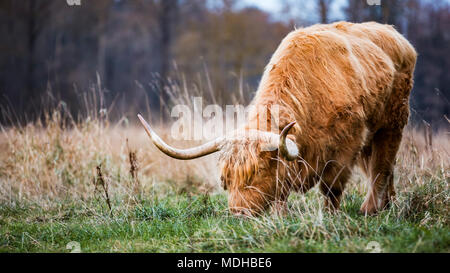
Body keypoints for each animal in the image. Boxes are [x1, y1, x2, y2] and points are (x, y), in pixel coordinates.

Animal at [138, 21, 418, 216]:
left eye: (258, 171)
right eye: (226, 179)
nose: (239, 213)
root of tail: (397, 36)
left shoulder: (345, 146)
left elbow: (331, 187)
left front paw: (331, 215)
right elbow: (281, 189)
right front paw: (280, 215)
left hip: (392, 123)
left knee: (382, 165)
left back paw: (371, 209)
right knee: (382, 166)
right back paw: (387, 205)